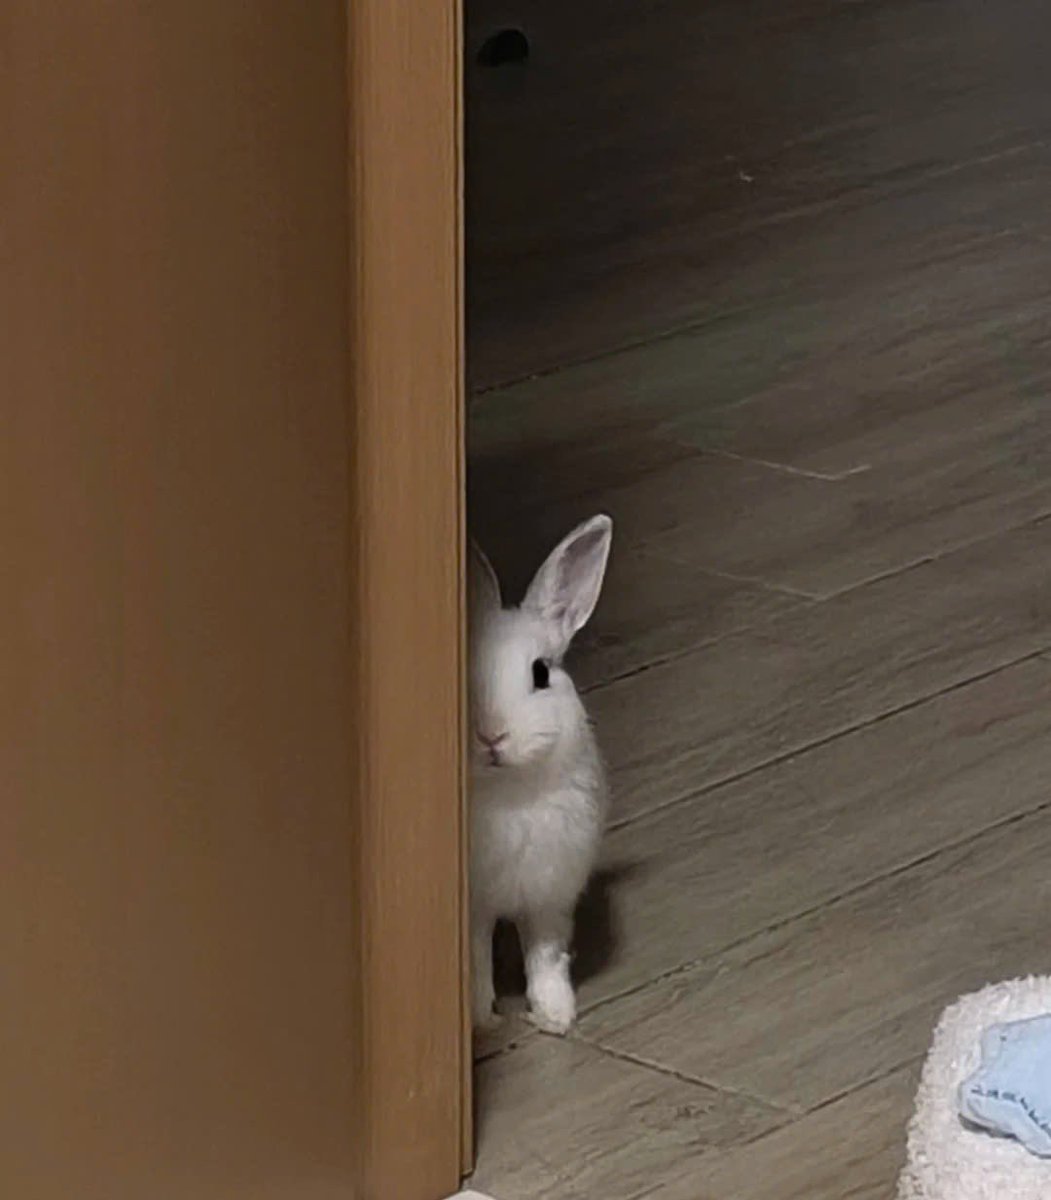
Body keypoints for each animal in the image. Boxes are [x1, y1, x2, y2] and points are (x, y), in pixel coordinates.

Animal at [468, 513, 613, 1036]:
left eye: (541, 673)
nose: (491, 736)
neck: (512, 790)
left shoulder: (550, 897)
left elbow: (546, 956)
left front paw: (556, 1016)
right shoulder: (474, 906)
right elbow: (475, 959)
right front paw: (481, 1019)